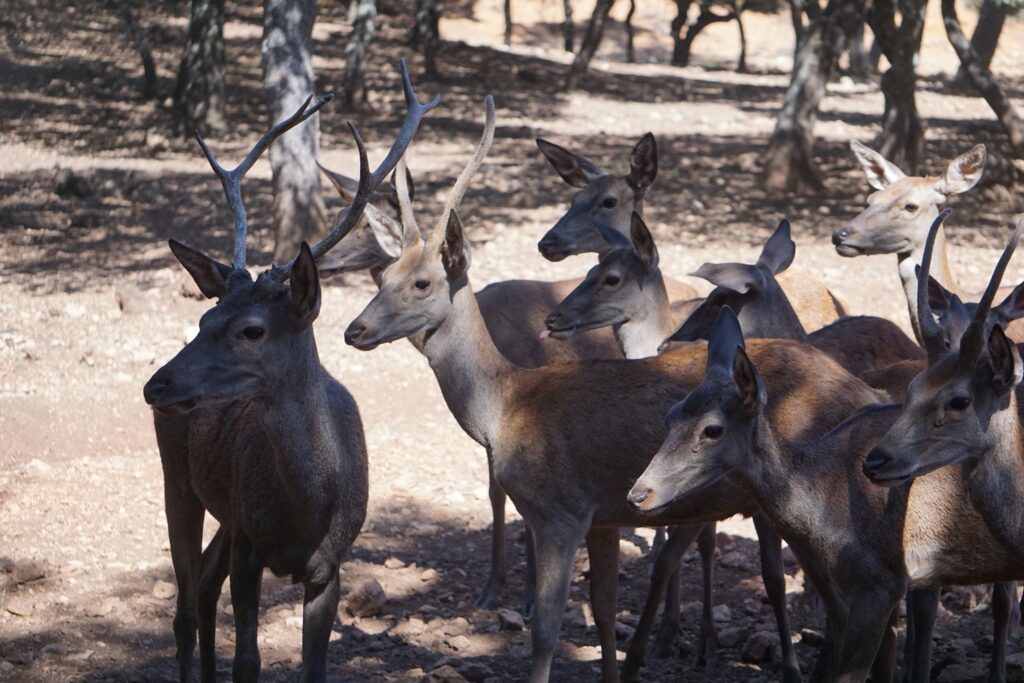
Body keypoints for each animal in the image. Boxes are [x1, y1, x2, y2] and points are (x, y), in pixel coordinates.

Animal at [142, 62, 438, 679]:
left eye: (252, 329)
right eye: (204, 316)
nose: (156, 384)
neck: (306, 511)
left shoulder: (330, 567)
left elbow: (314, 666)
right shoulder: (251, 547)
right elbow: (248, 660)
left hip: (223, 510)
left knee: (202, 586)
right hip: (177, 479)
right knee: (184, 607)